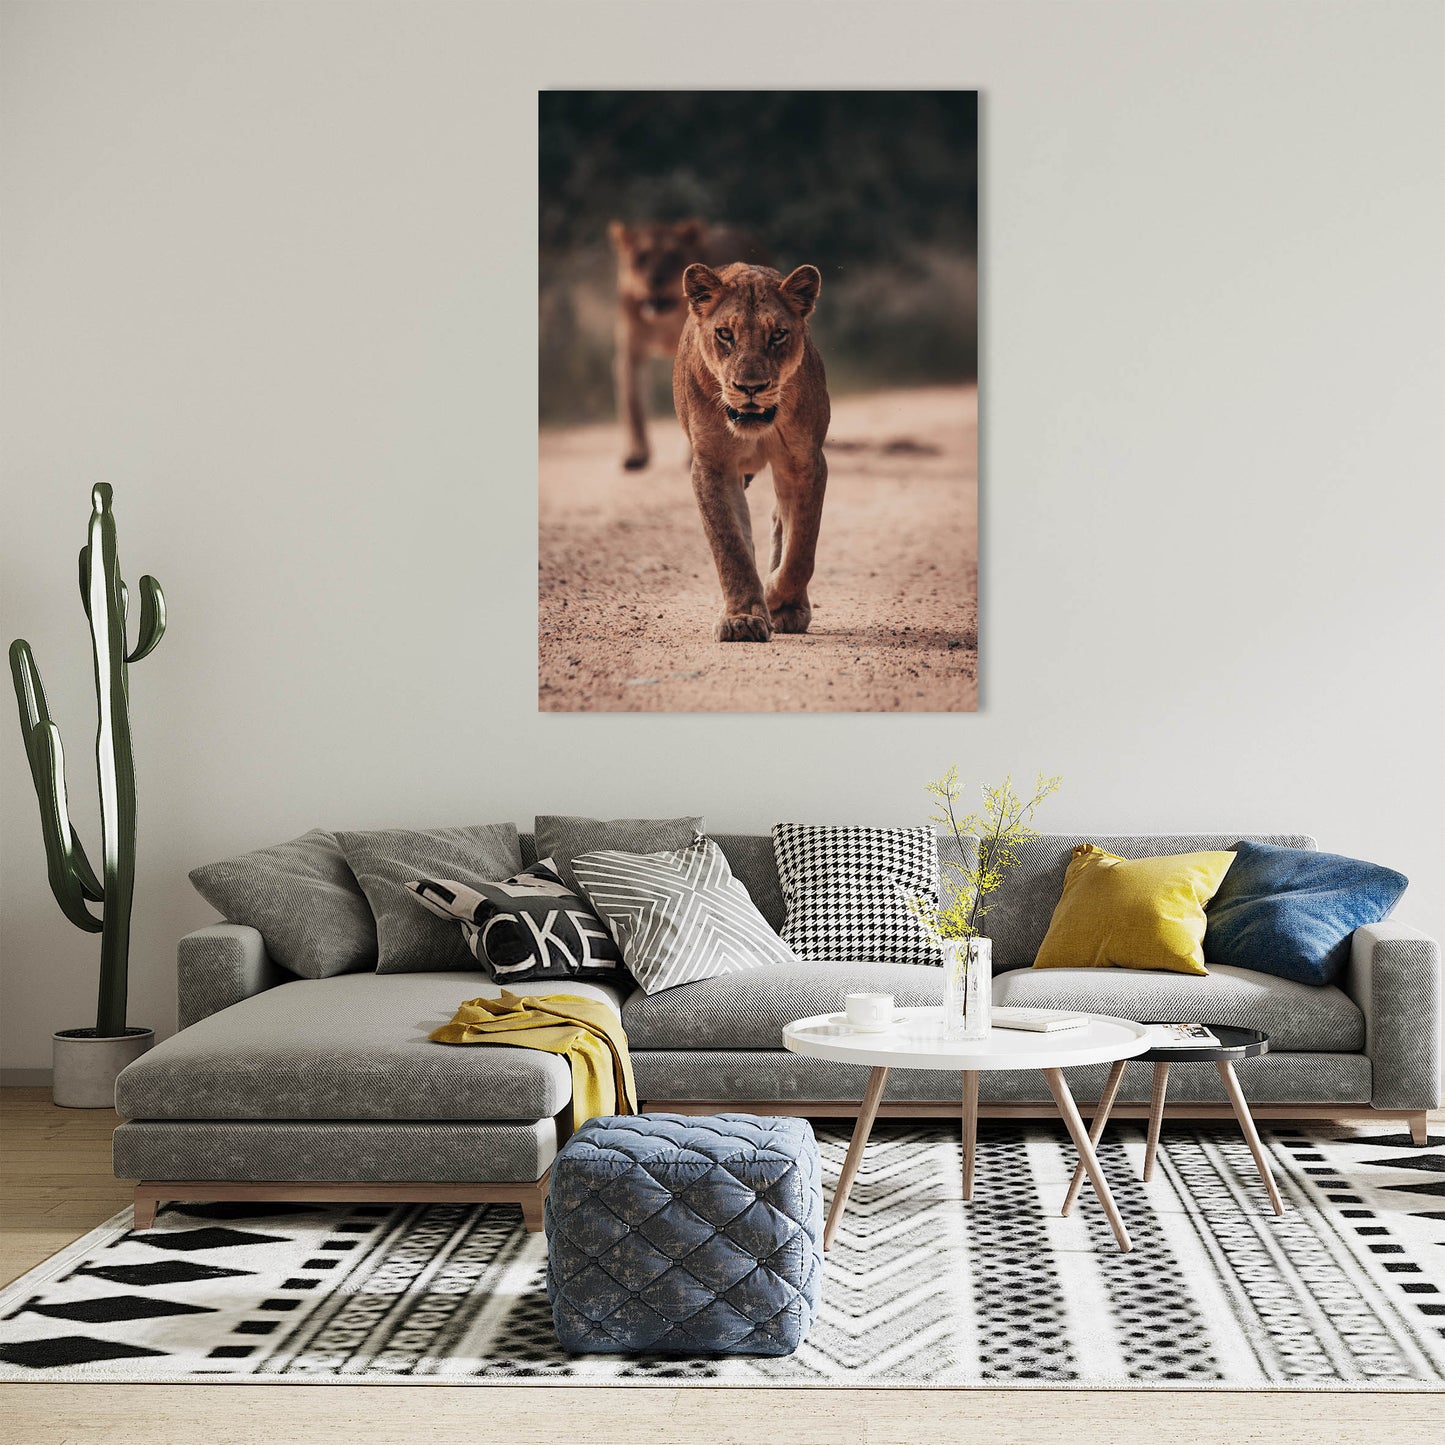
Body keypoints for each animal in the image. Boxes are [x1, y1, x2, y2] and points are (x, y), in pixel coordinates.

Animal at [609, 220, 766, 471]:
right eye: (641, 257)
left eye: (673, 256)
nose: (656, 279)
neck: (664, 319)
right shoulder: (630, 355)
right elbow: (633, 407)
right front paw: (636, 454)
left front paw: (693, 455)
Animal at [672, 261, 830, 643]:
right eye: (725, 334)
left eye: (778, 335)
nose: (750, 387)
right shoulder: (712, 464)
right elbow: (729, 544)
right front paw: (742, 618)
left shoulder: (805, 462)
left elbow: (801, 549)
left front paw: (775, 598)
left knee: (780, 521)